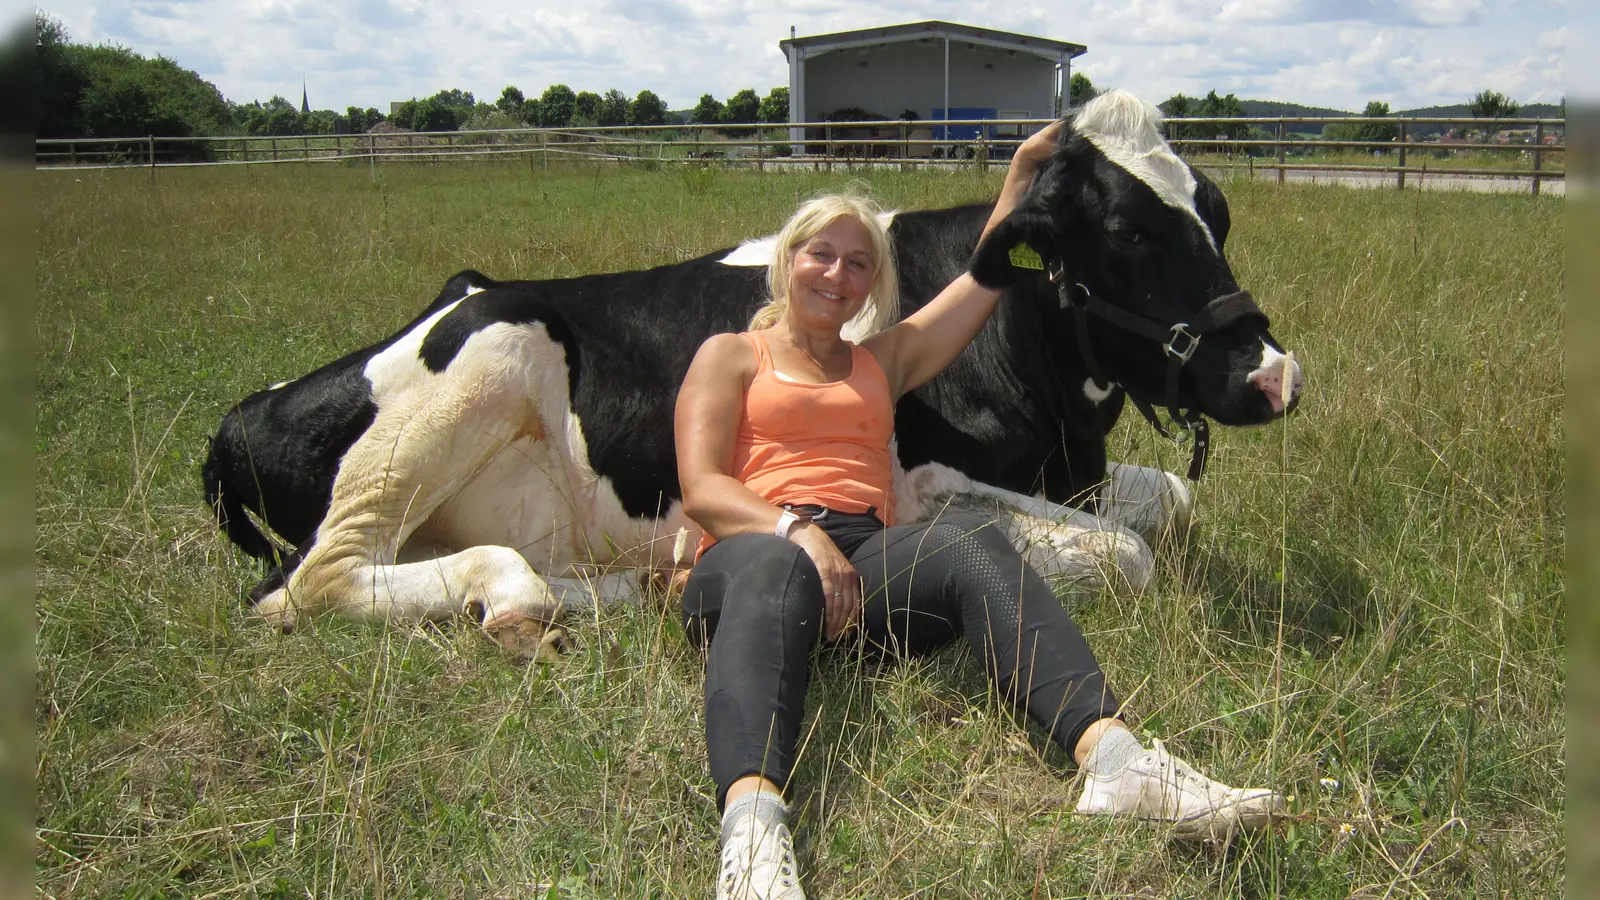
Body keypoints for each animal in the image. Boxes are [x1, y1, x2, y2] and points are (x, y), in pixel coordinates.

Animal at [203, 91, 1299, 643]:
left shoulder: (1071, 472)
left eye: (1218, 209)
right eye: (1125, 229)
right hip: (490, 341)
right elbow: (1129, 553)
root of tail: (246, 410)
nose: (1271, 373)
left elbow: (1173, 506)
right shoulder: (926, 487)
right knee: (312, 582)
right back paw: (508, 591)